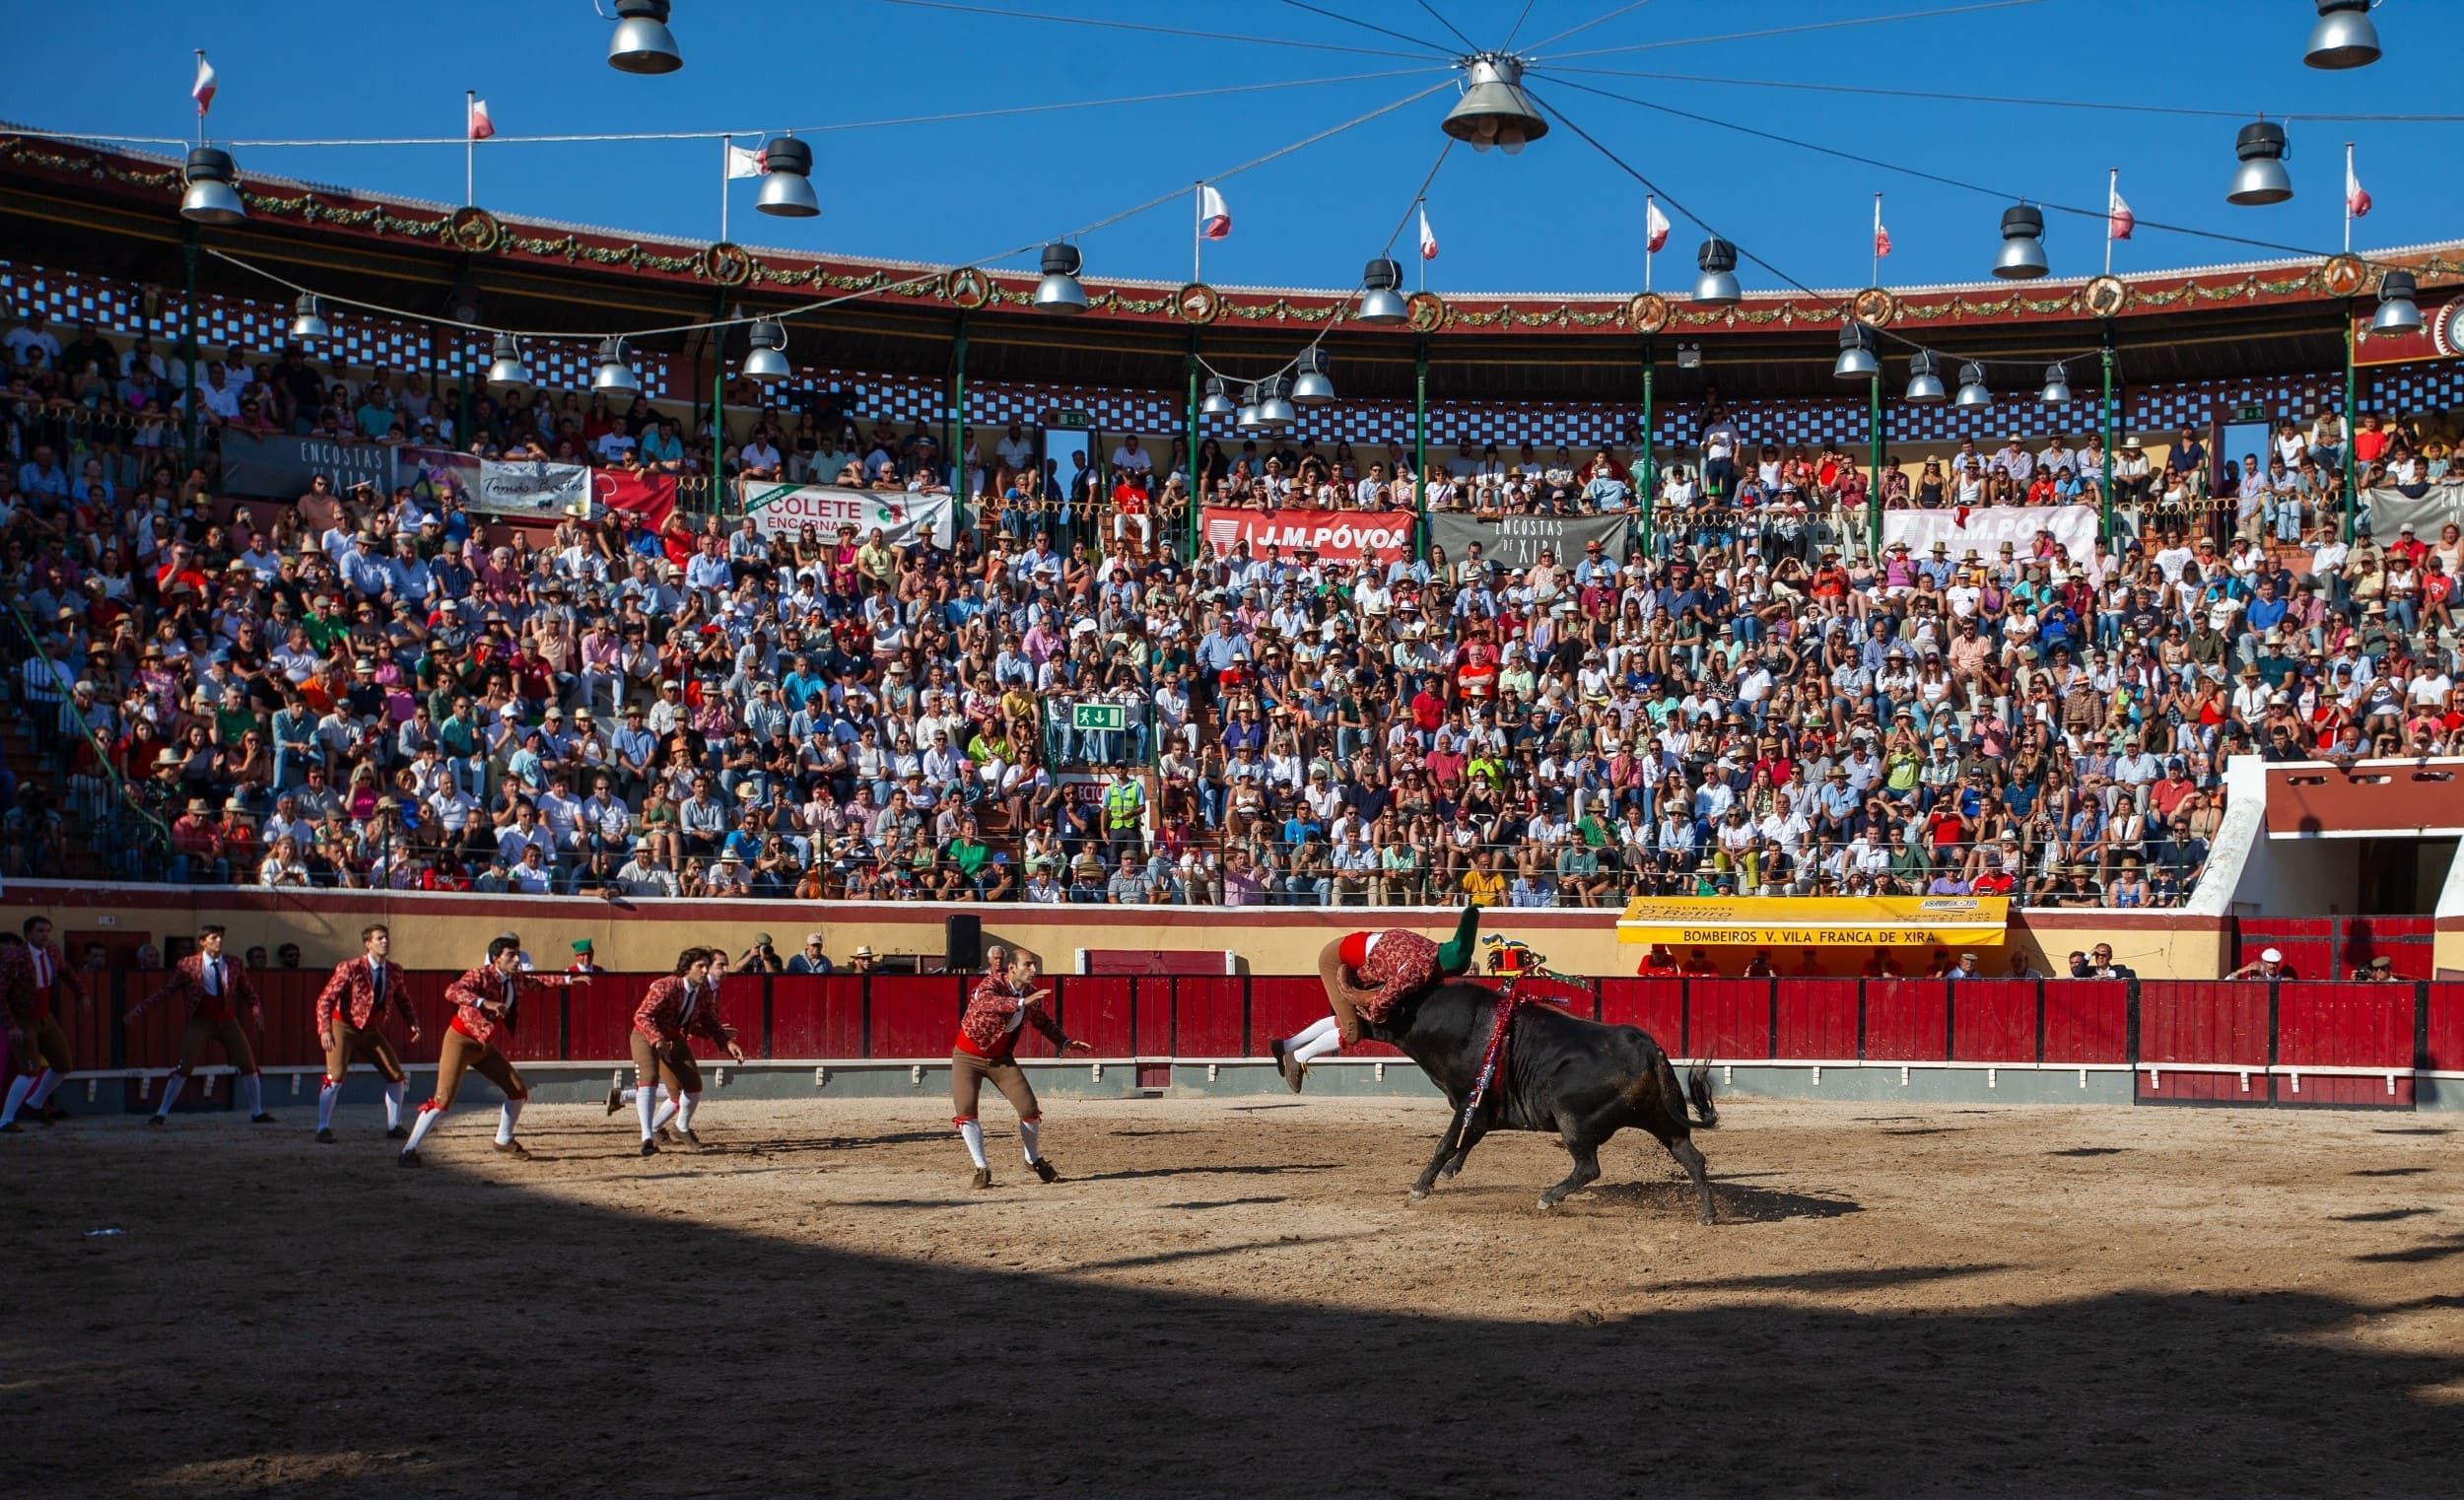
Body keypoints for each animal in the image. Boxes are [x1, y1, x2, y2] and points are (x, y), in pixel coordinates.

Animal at [1360, 985, 1725, 1216]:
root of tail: (1648, 1048)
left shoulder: (1470, 1104)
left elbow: (1447, 1143)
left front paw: (1419, 1188)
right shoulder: (1479, 1113)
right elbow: (1464, 1142)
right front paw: (1449, 1172)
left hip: (1573, 1120)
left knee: (1589, 1167)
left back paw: (1548, 1198)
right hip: (1662, 1119)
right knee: (1691, 1156)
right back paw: (1707, 1214)